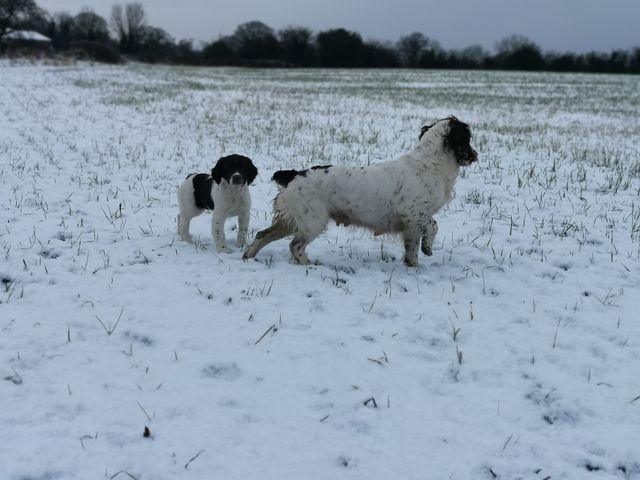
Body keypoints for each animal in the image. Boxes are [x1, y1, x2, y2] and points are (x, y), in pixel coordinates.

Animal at [242, 116, 478, 266]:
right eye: (467, 137)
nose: (475, 155)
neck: (429, 164)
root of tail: (294, 174)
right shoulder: (413, 213)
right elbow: (433, 226)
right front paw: (427, 249)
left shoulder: (411, 223)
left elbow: (411, 249)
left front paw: (413, 264)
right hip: (312, 221)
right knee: (295, 245)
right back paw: (309, 264)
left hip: (290, 220)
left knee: (263, 235)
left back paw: (248, 256)